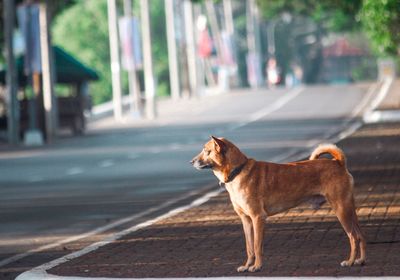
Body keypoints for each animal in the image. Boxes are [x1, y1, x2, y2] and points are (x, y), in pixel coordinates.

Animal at [191, 137, 366, 272]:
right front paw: (247, 266)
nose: (191, 161)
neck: (238, 171)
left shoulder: (258, 218)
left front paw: (257, 266)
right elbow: (249, 247)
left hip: (341, 209)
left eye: (207, 151)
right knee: (361, 235)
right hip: (350, 210)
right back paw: (361, 260)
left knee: (353, 237)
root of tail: (338, 162)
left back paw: (350, 261)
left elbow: (256, 246)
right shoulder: (246, 220)